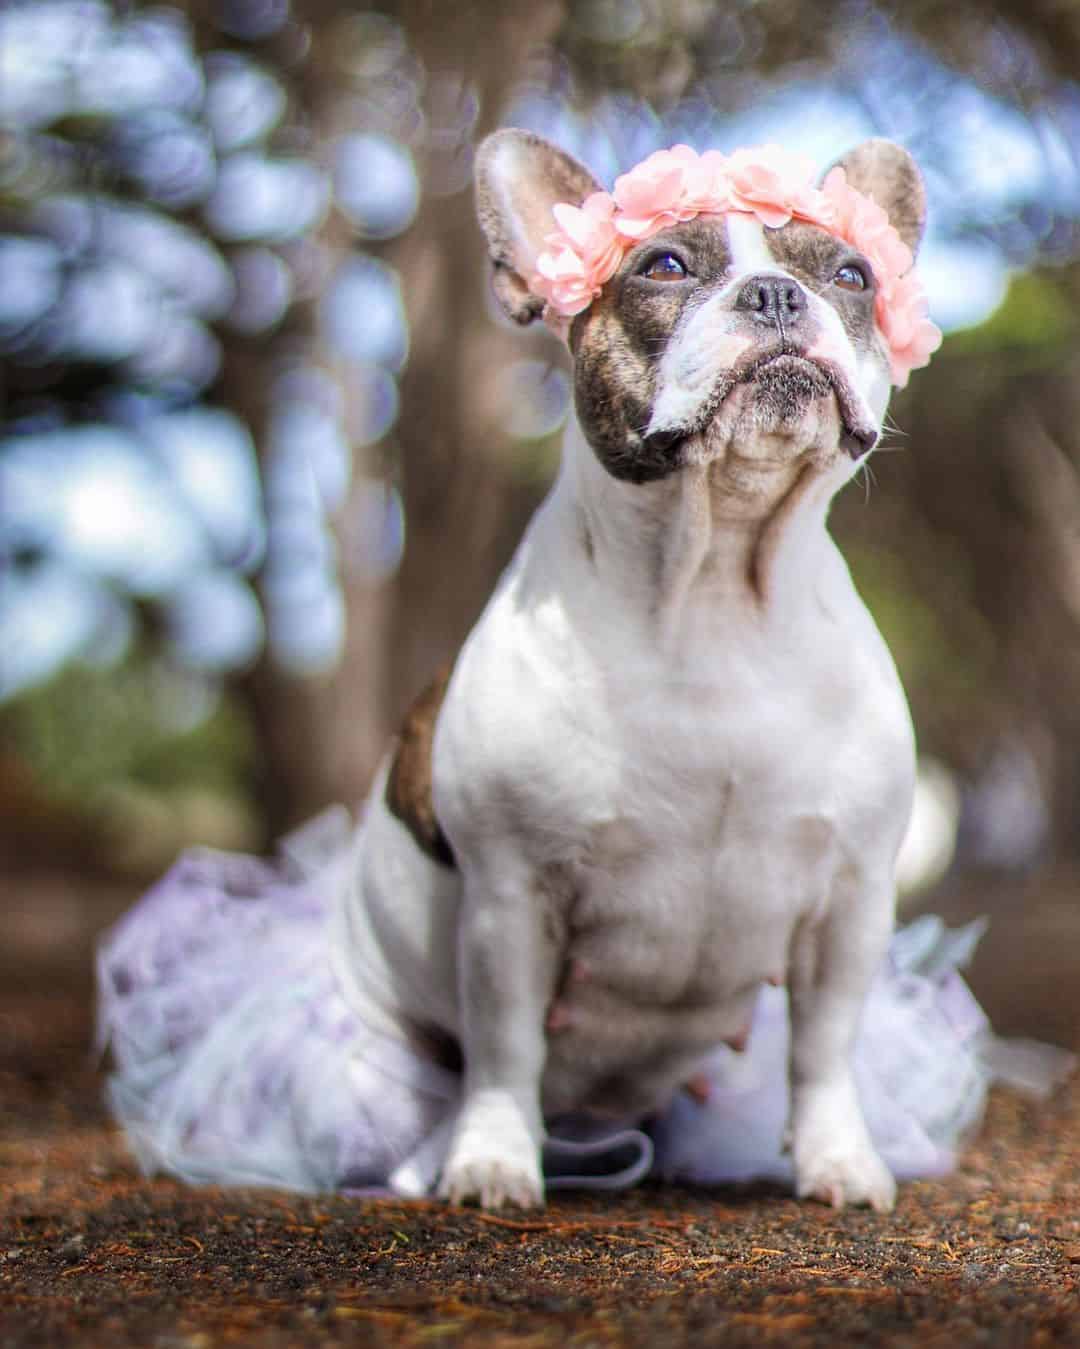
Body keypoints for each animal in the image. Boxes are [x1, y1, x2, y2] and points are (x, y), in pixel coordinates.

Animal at [341, 128, 933, 1214]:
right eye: (663, 266)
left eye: (851, 276)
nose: (777, 296)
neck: (714, 588)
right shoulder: (510, 898)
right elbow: (503, 1046)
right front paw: (492, 1159)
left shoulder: (851, 898)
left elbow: (826, 1046)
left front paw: (839, 1159)